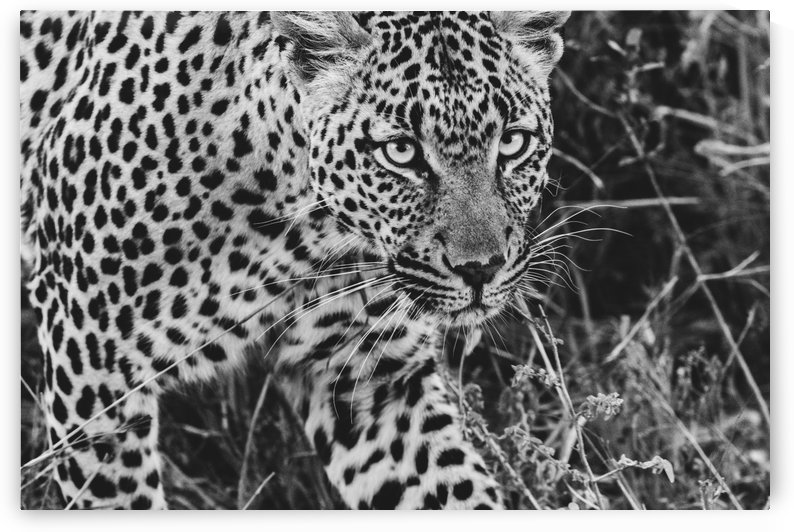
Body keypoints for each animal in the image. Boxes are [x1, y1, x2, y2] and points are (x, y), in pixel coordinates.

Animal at [20, 10, 570, 509]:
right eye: (400, 152)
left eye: (513, 143)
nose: (481, 269)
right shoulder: (93, 364)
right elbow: (115, 498)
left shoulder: (369, 378)